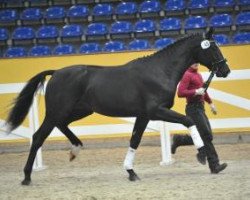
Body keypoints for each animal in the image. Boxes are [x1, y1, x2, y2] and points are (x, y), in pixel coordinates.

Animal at [5, 27, 229, 184]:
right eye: (213, 47)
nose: (225, 70)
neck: (159, 71)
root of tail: (56, 72)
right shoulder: (156, 111)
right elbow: (189, 120)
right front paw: (201, 153)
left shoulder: (144, 115)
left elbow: (135, 140)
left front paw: (131, 172)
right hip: (57, 112)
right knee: (38, 137)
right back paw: (27, 177)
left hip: (79, 110)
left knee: (61, 126)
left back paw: (75, 150)